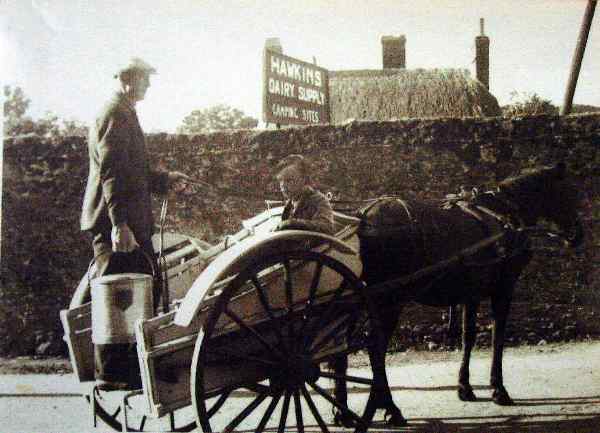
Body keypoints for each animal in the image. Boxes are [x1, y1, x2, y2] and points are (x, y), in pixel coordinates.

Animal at [330, 162, 584, 426]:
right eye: (569, 193)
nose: (578, 234)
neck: (505, 214)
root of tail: (362, 217)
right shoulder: (503, 289)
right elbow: (498, 336)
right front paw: (498, 389)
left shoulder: (471, 294)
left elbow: (468, 336)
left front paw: (464, 387)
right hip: (389, 301)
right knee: (375, 350)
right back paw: (390, 408)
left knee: (341, 349)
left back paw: (343, 411)